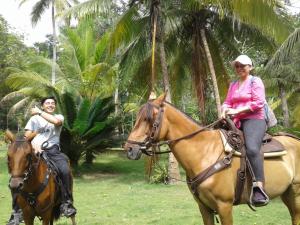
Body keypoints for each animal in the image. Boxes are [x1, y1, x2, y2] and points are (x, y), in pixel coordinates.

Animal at [124, 94, 300, 225]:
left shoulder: (224, 206)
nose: (129, 149)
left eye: (149, 119)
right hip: (287, 193)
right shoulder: (204, 208)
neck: (204, 153)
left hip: (296, 193)